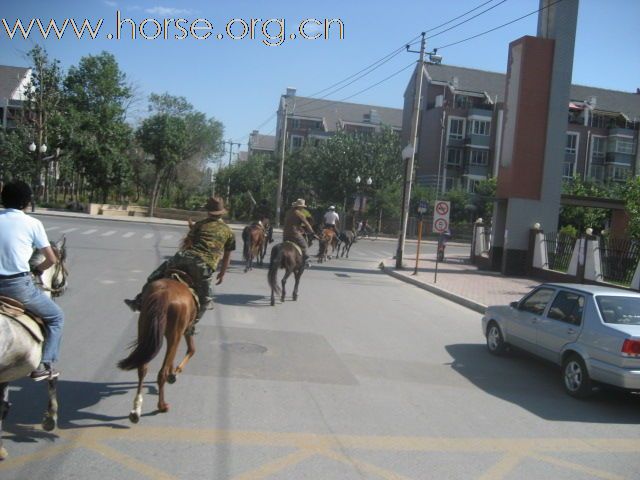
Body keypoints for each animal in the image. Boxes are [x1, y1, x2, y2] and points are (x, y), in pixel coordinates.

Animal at [117, 223, 198, 422]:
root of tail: (164, 295)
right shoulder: (187, 329)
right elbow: (191, 350)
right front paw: (174, 374)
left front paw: (174, 372)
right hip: (174, 334)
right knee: (161, 371)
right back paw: (162, 405)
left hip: (144, 326)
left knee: (142, 366)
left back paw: (135, 410)